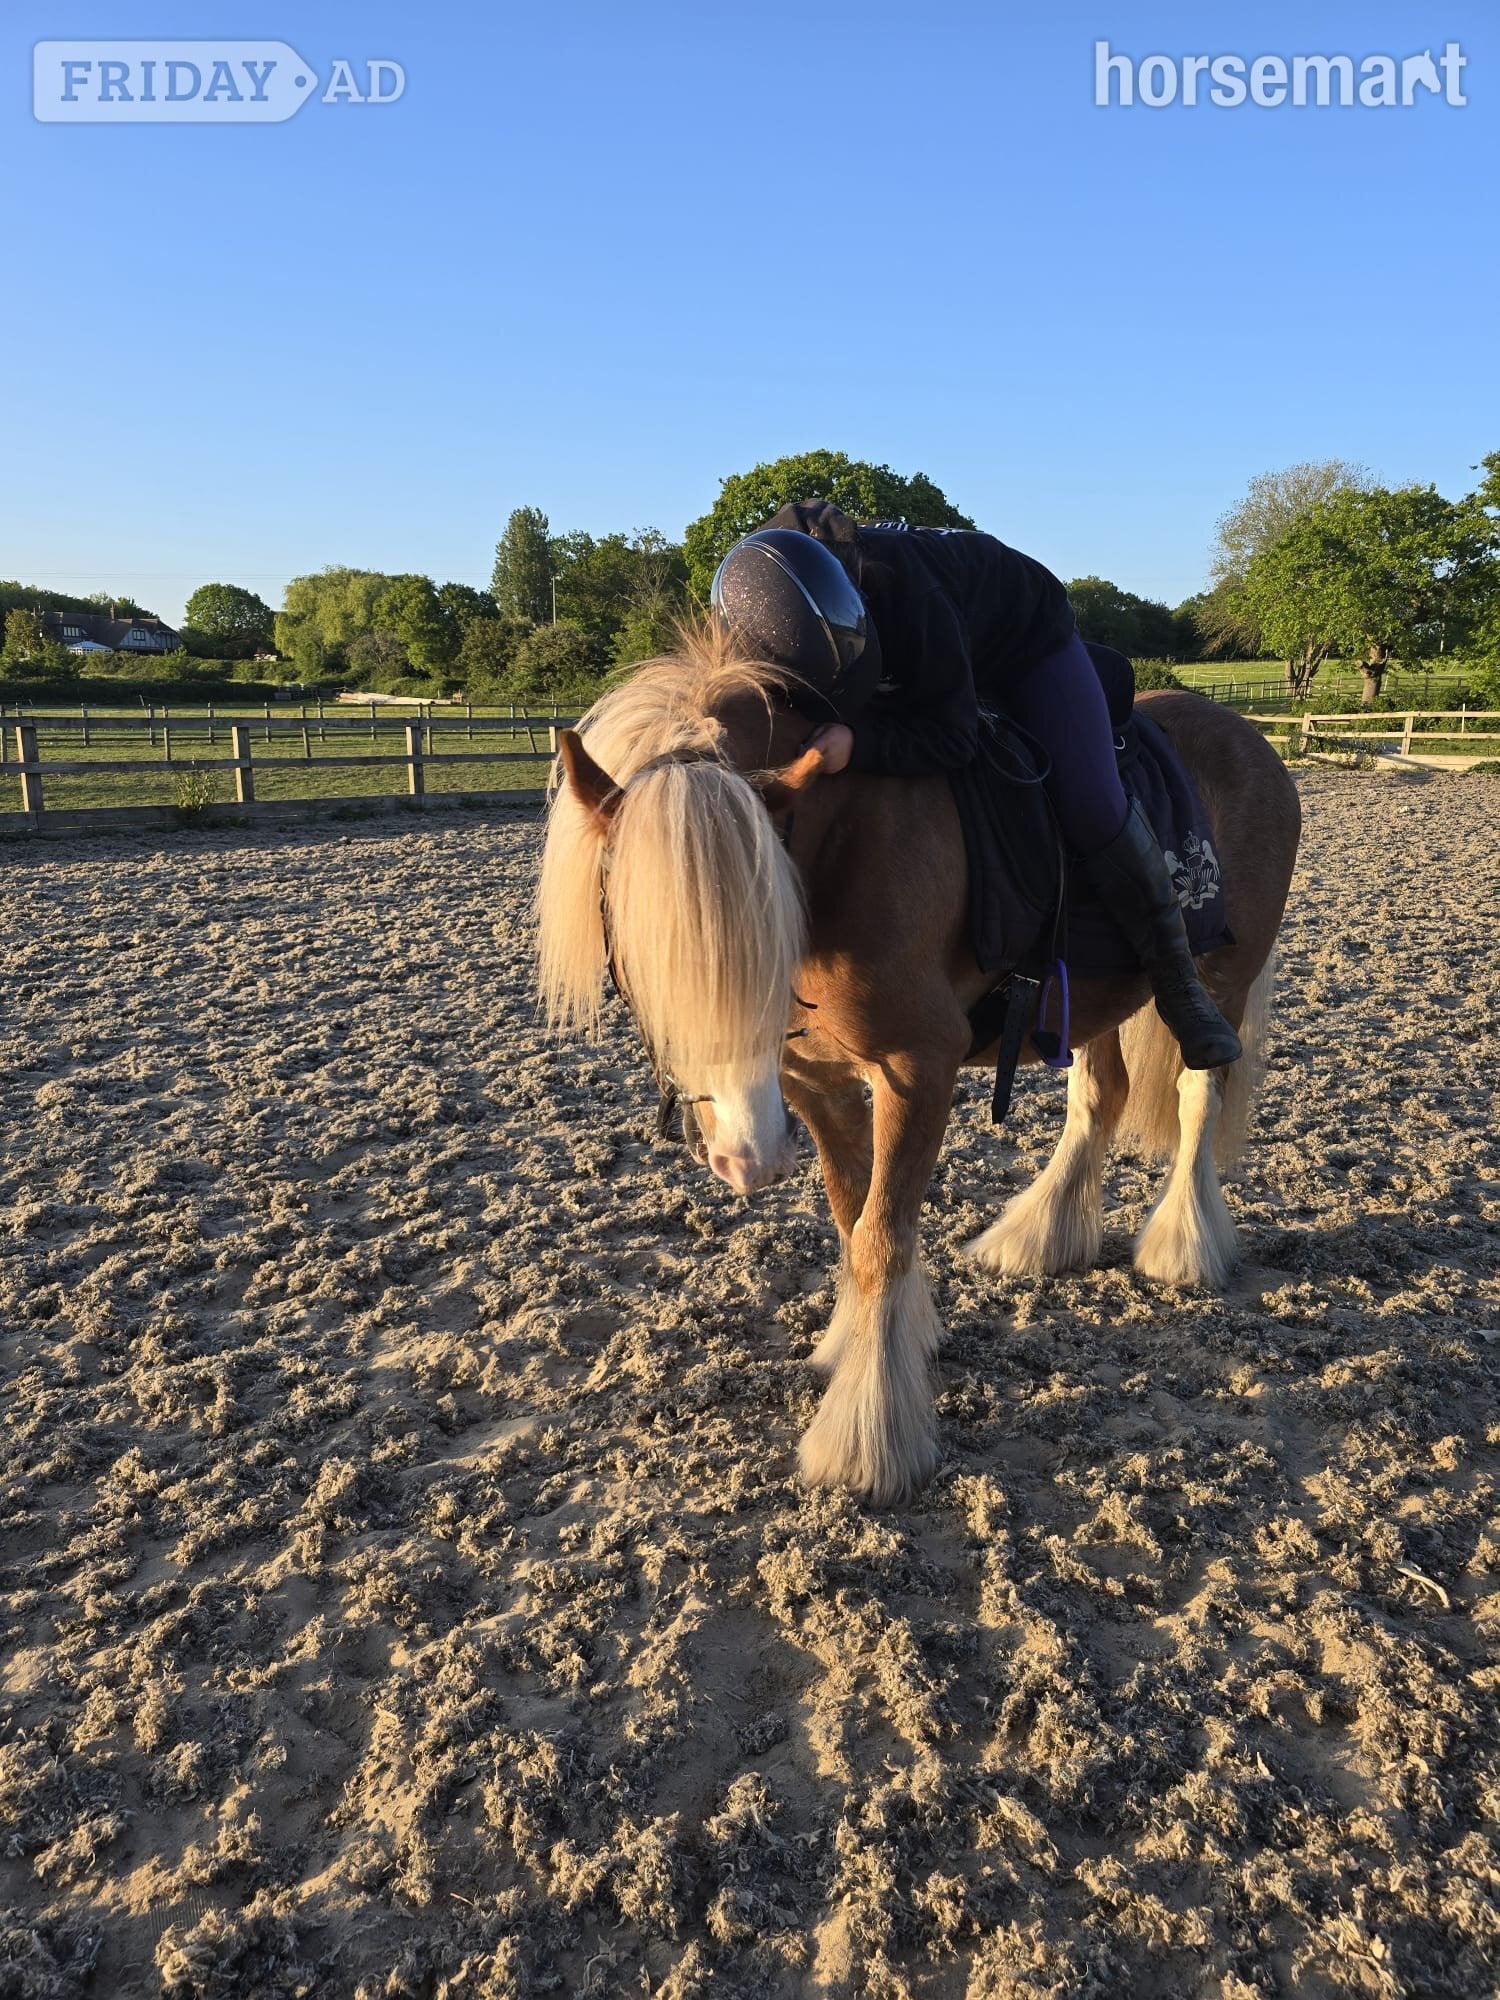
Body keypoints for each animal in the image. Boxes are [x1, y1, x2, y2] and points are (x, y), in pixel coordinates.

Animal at [537, 625, 1301, 1507]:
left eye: (762, 929)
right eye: (638, 948)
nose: (745, 1158)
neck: (835, 842)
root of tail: (1250, 737)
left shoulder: (918, 1070)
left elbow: (881, 1237)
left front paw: (867, 1436)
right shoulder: (816, 1085)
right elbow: (851, 1215)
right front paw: (865, 1344)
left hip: (1221, 979)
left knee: (1194, 1098)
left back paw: (1183, 1245)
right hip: (1093, 994)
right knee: (1101, 1096)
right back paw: (1041, 1234)